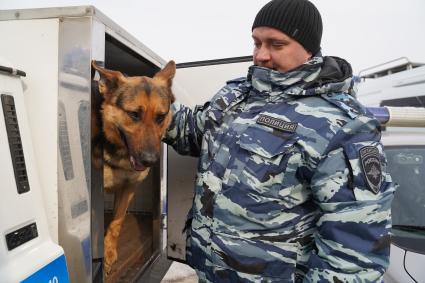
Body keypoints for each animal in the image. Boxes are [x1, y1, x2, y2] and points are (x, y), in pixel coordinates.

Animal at [90, 60, 175, 276]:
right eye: (134, 114)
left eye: (160, 117)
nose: (151, 161)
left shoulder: (128, 189)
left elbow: (117, 222)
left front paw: (109, 252)